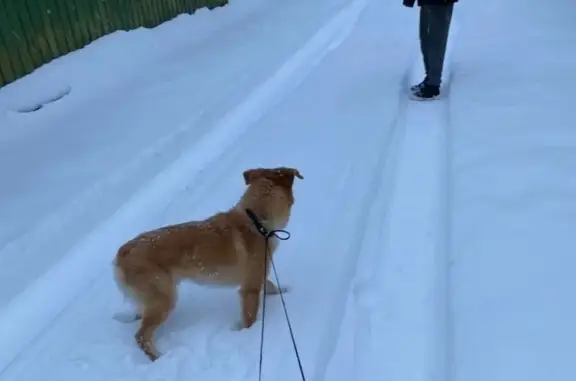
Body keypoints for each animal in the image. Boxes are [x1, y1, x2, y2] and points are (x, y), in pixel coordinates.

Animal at [112, 166, 302, 360]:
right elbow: (250, 316)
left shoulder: (258, 274)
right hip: (164, 299)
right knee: (141, 336)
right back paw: (157, 357)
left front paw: (282, 291)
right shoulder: (250, 288)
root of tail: (122, 252)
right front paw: (248, 334)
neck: (256, 220)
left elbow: (271, 285)